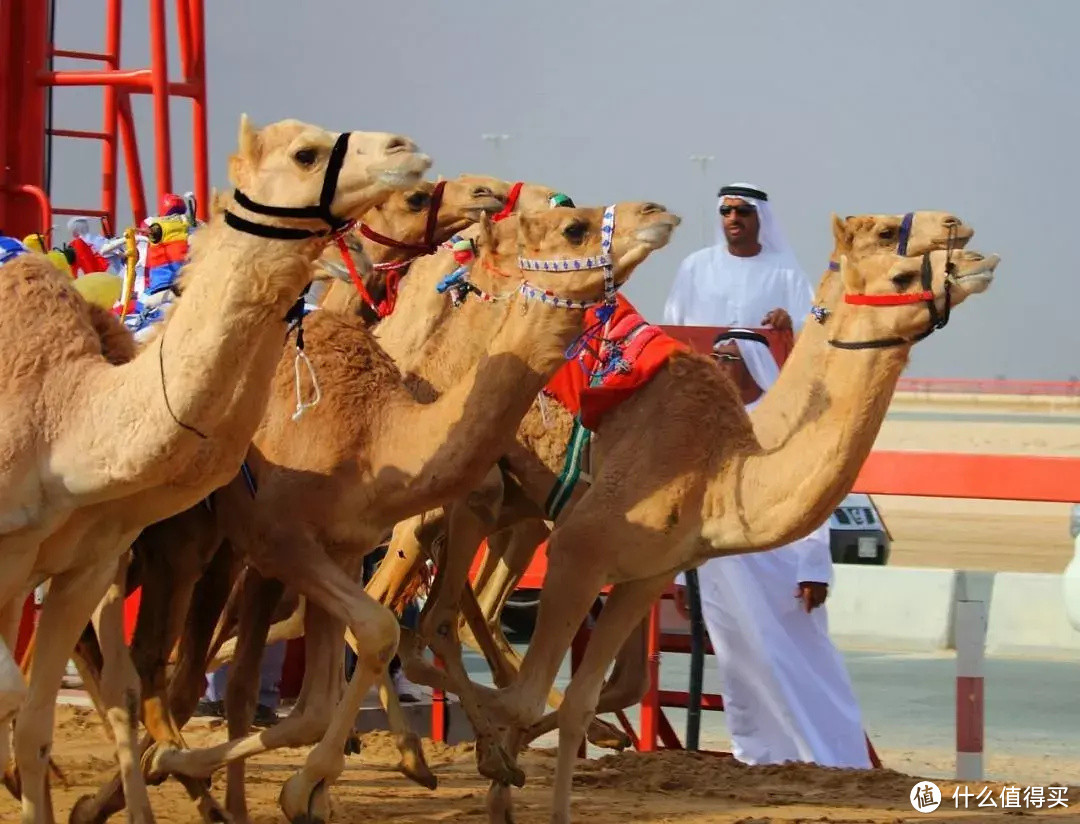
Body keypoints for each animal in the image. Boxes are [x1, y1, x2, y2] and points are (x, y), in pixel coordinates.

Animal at [143, 199, 678, 824]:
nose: (656, 211)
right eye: (574, 228)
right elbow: (382, 631)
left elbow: (339, 676)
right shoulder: (285, 538)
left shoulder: (348, 544)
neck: (380, 430)